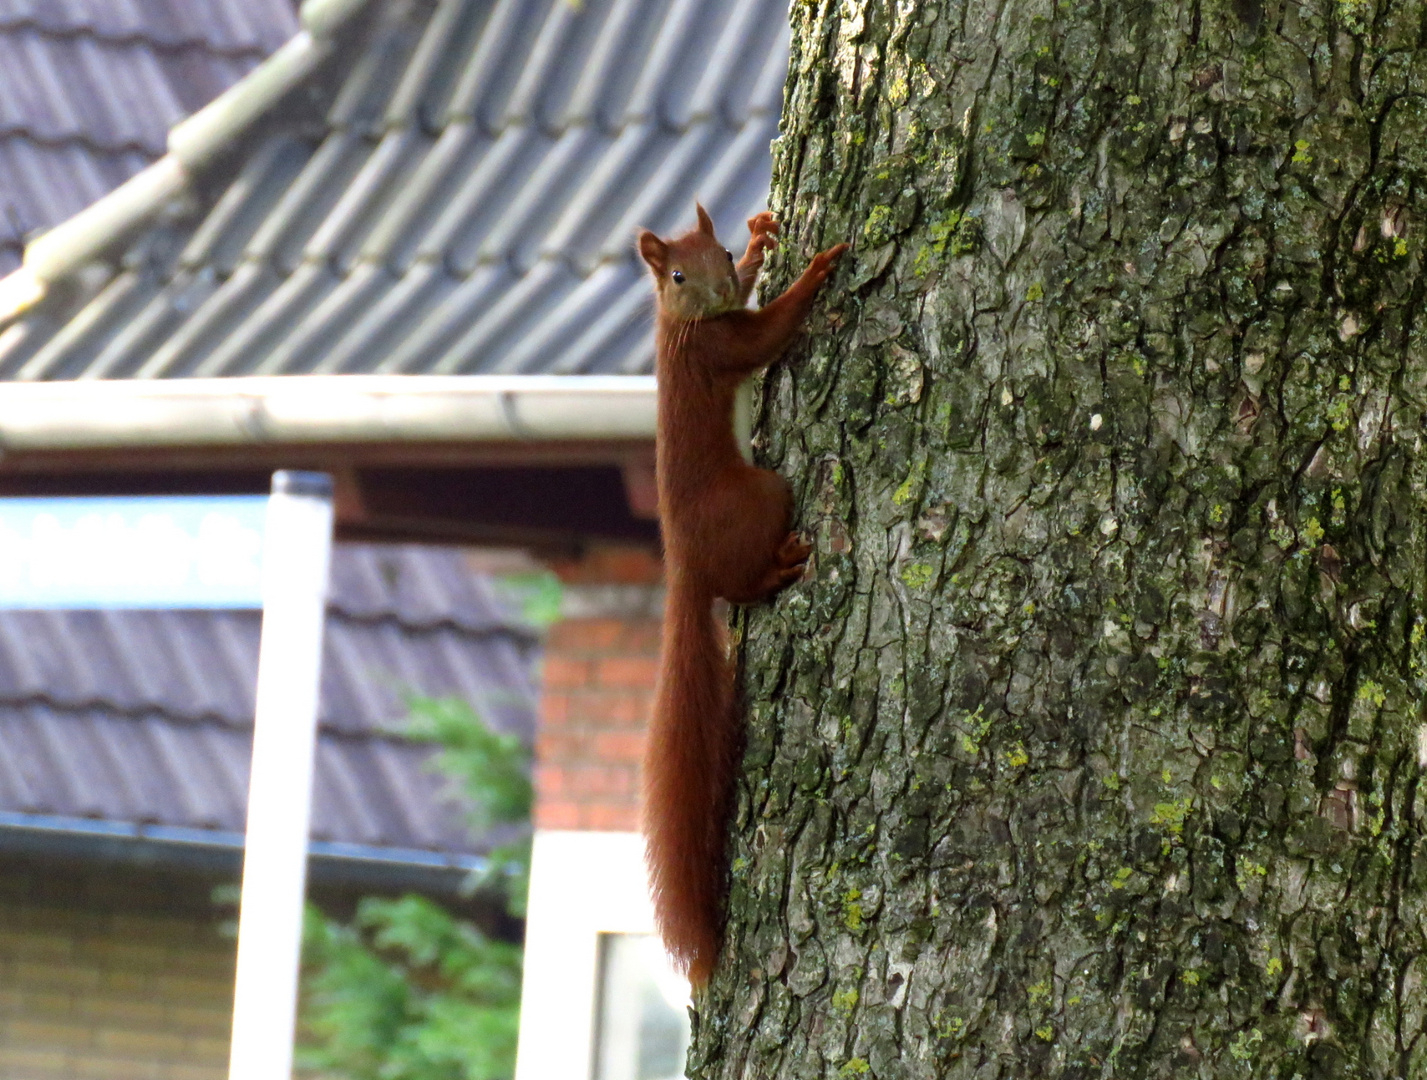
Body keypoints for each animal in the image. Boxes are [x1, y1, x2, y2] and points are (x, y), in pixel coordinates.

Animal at [639, 204, 844, 987]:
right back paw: (781, 566)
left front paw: (764, 238)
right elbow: (767, 331)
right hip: (764, 496)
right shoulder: (720, 346)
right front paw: (818, 268)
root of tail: (687, 572)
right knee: (747, 581)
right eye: (675, 274)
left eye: (721, 252)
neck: (680, 325)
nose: (723, 284)